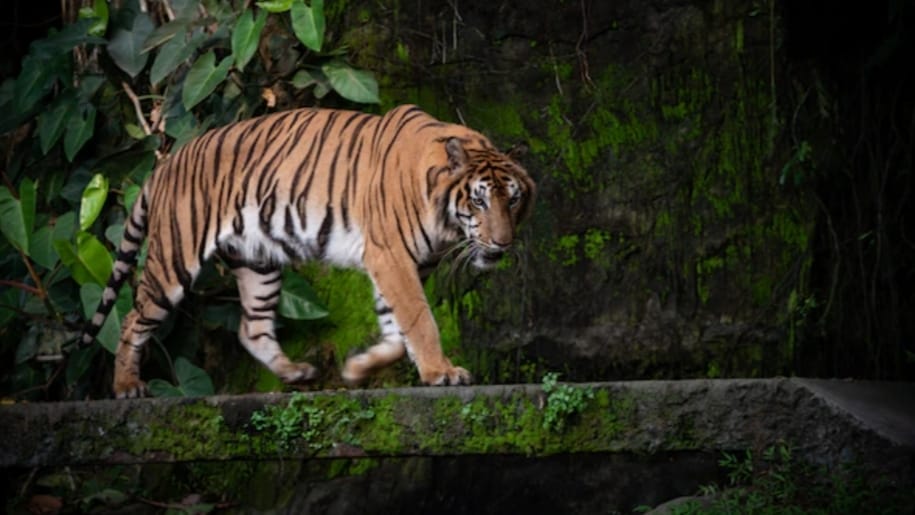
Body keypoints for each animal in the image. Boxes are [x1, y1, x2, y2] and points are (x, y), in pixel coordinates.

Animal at [80, 104, 536, 398]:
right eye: (478, 201)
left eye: (512, 200)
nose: (502, 243)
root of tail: (167, 162)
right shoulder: (391, 257)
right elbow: (419, 319)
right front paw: (442, 372)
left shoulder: (395, 264)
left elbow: (395, 328)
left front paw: (358, 368)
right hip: (175, 258)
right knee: (132, 319)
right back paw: (127, 387)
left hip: (258, 261)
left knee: (252, 328)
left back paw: (296, 373)